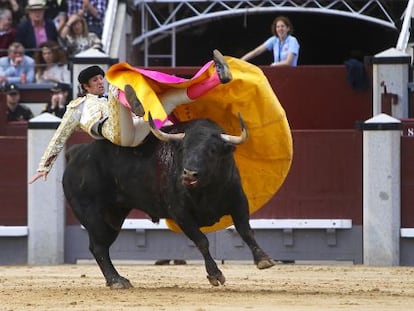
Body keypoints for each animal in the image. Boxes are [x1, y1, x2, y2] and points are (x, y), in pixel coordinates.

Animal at [64, 115, 274, 290]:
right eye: (184, 149)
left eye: (212, 150)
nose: (189, 174)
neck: (206, 190)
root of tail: (76, 152)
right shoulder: (180, 213)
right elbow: (202, 241)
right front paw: (215, 275)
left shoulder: (239, 201)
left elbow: (246, 231)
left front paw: (263, 259)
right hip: (93, 216)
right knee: (98, 247)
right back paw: (117, 280)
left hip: (114, 217)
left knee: (101, 246)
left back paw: (115, 280)